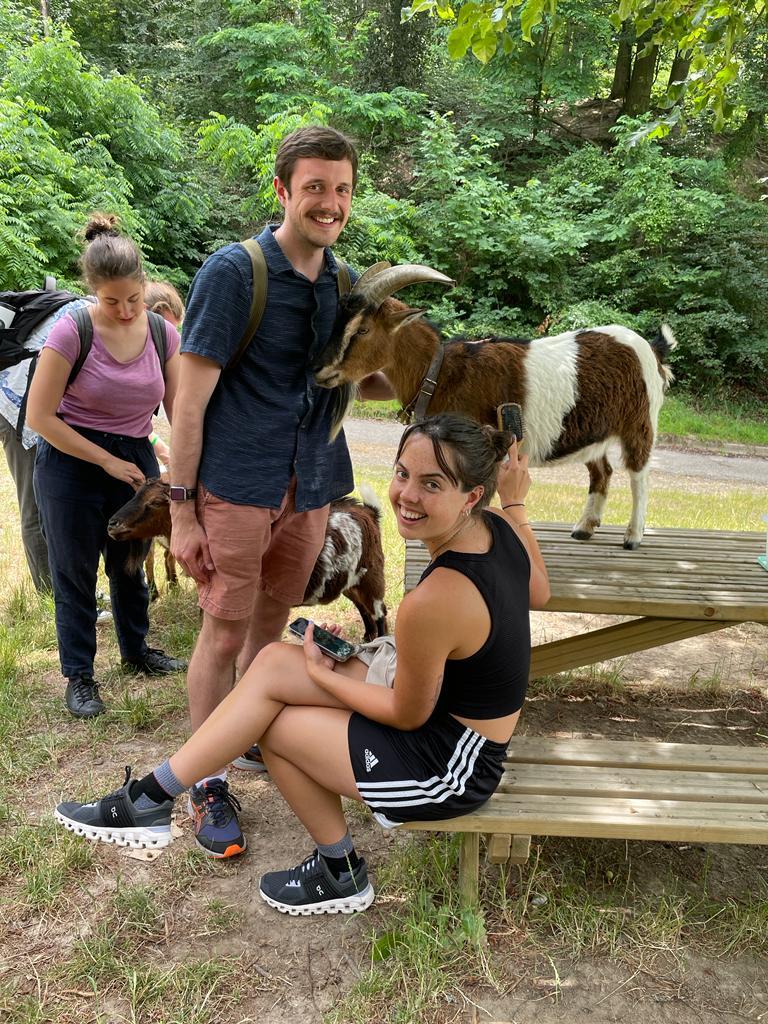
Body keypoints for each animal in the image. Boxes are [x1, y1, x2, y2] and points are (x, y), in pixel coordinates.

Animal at [107, 475, 391, 634]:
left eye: (155, 503)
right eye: (134, 493)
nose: (112, 524)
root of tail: (368, 511)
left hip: (373, 576)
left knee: (380, 614)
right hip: (350, 581)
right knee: (364, 611)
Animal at [315, 264, 675, 552]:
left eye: (362, 329)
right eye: (336, 321)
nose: (320, 371)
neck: (440, 371)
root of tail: (651, 349)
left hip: (640, 422)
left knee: (638, 475)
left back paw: (633, 536)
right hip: (592, 431)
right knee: (603, 472)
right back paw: (584, 528)